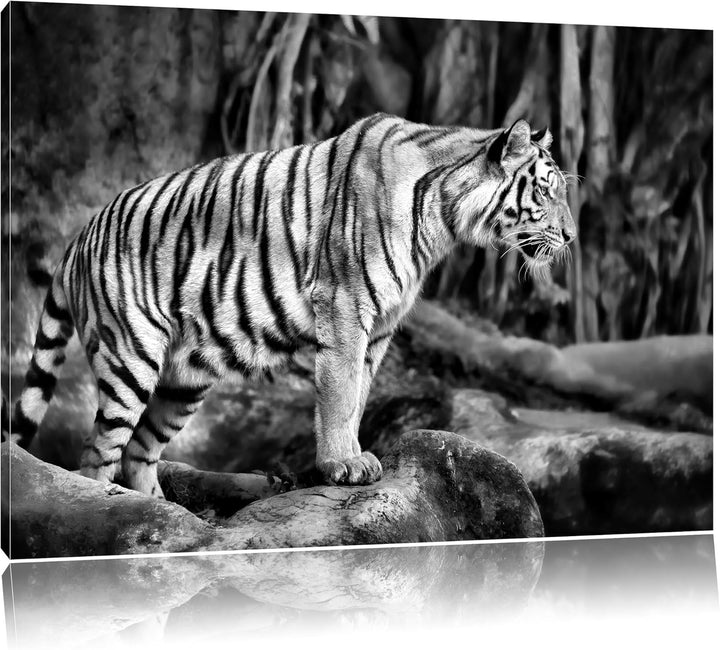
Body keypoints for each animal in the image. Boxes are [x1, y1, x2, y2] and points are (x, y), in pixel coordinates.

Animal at [5, 113, 575, 498]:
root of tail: (78, 237)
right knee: (95, 456)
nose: (571, 237)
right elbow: (340, 393)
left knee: (140, 453)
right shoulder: (345, 306)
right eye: (547, 192)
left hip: (184, 380)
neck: (443, 215)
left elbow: (359, 395)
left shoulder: (380, 328)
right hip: (130, 358)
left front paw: (352, 457)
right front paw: (344, 466)